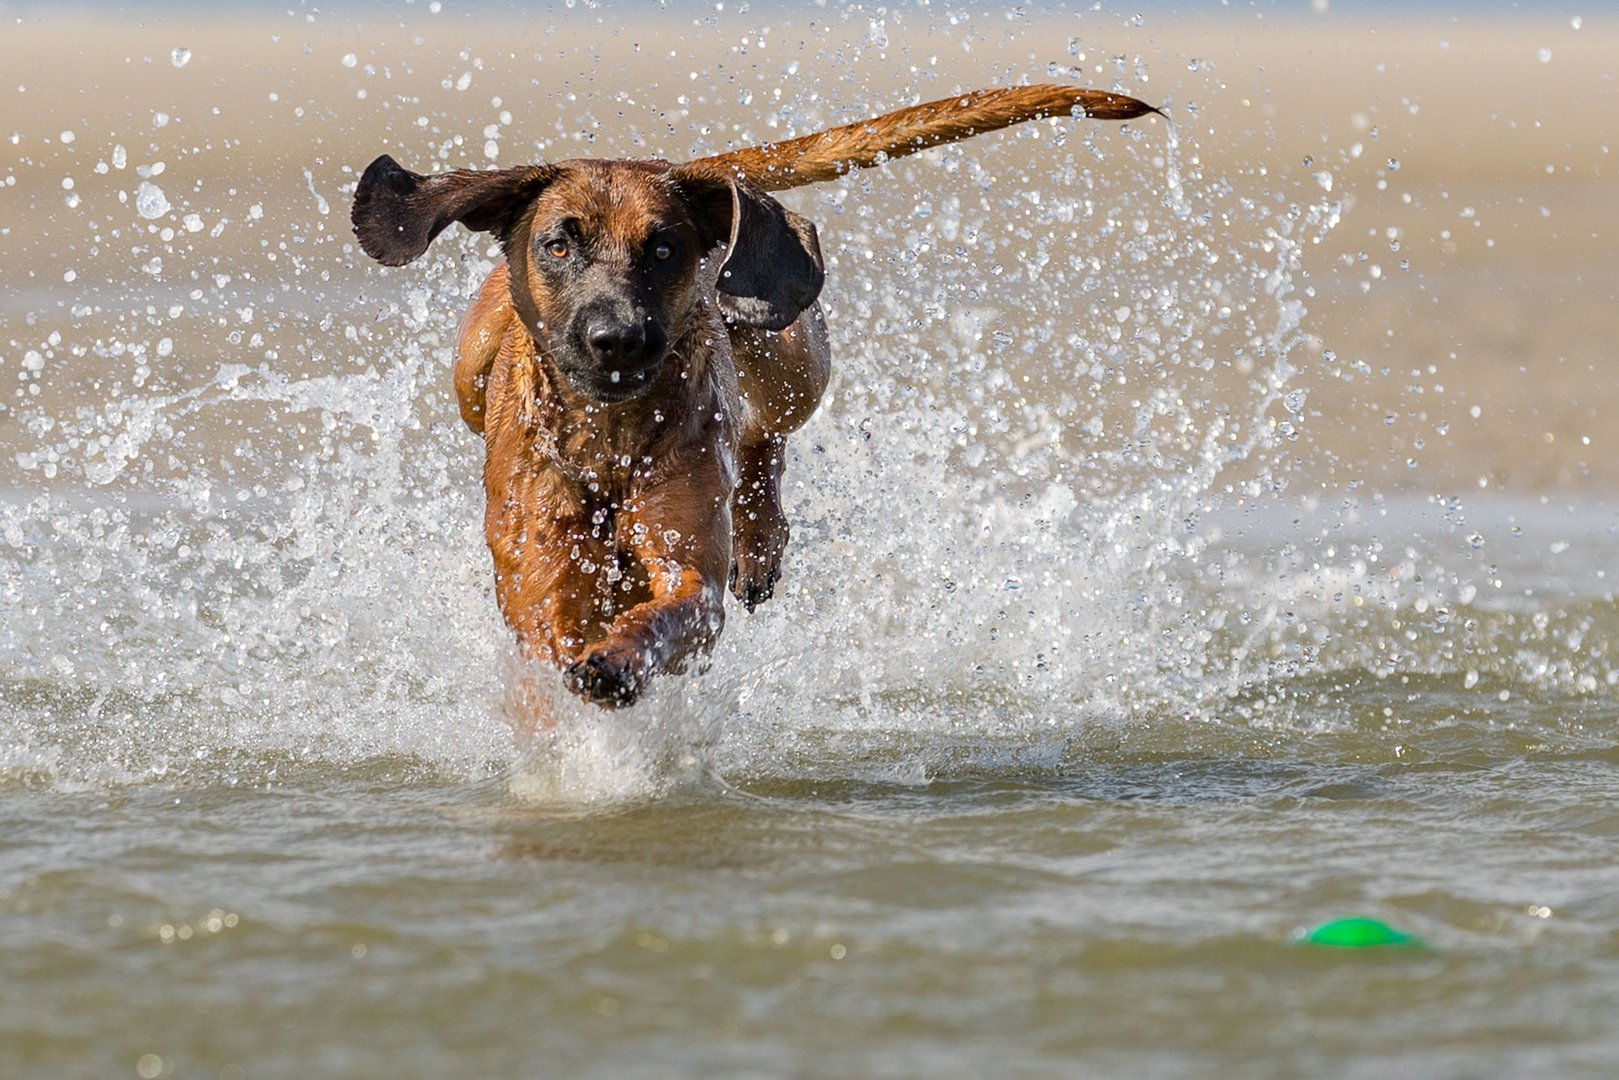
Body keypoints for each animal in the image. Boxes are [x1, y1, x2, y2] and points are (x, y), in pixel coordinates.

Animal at [354, 84, 1165, 709]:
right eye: (558, 244)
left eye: (664, 248)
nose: (617, 338)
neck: (608, 438)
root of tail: (680, 168)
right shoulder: (540, 575)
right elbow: (549, 627)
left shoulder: (687, 566)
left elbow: (672, 612)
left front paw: (619, 659)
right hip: (470, 369)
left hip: (791, 356)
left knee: (762, 435)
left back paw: (760, 536)